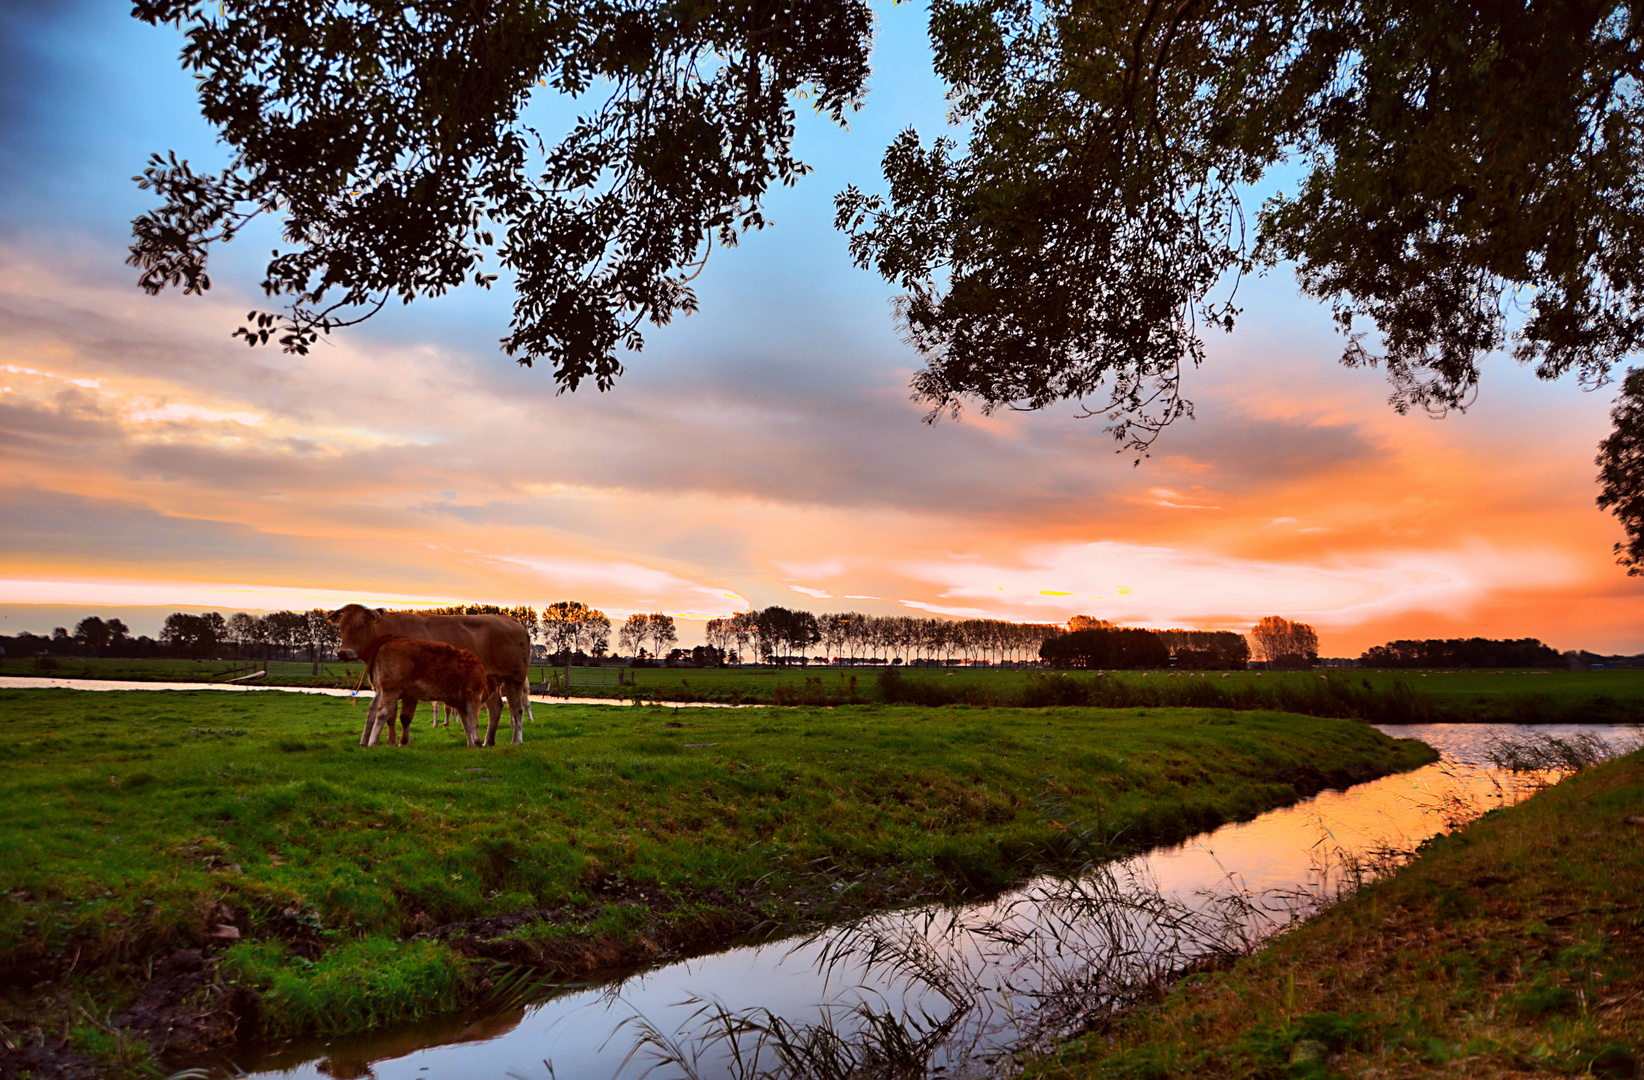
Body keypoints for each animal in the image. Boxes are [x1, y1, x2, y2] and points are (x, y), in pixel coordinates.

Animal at [363, 634, 503, 746]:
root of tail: (388, 640)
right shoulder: (473, 696)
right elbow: (474, 722)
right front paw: (478, 742)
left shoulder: (461, 704)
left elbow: (466, 725)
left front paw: (471, 744)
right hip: (391, 690)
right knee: (382, 713)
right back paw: (372, 742)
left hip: (380, 690)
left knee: (372, 709)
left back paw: (364, 741)